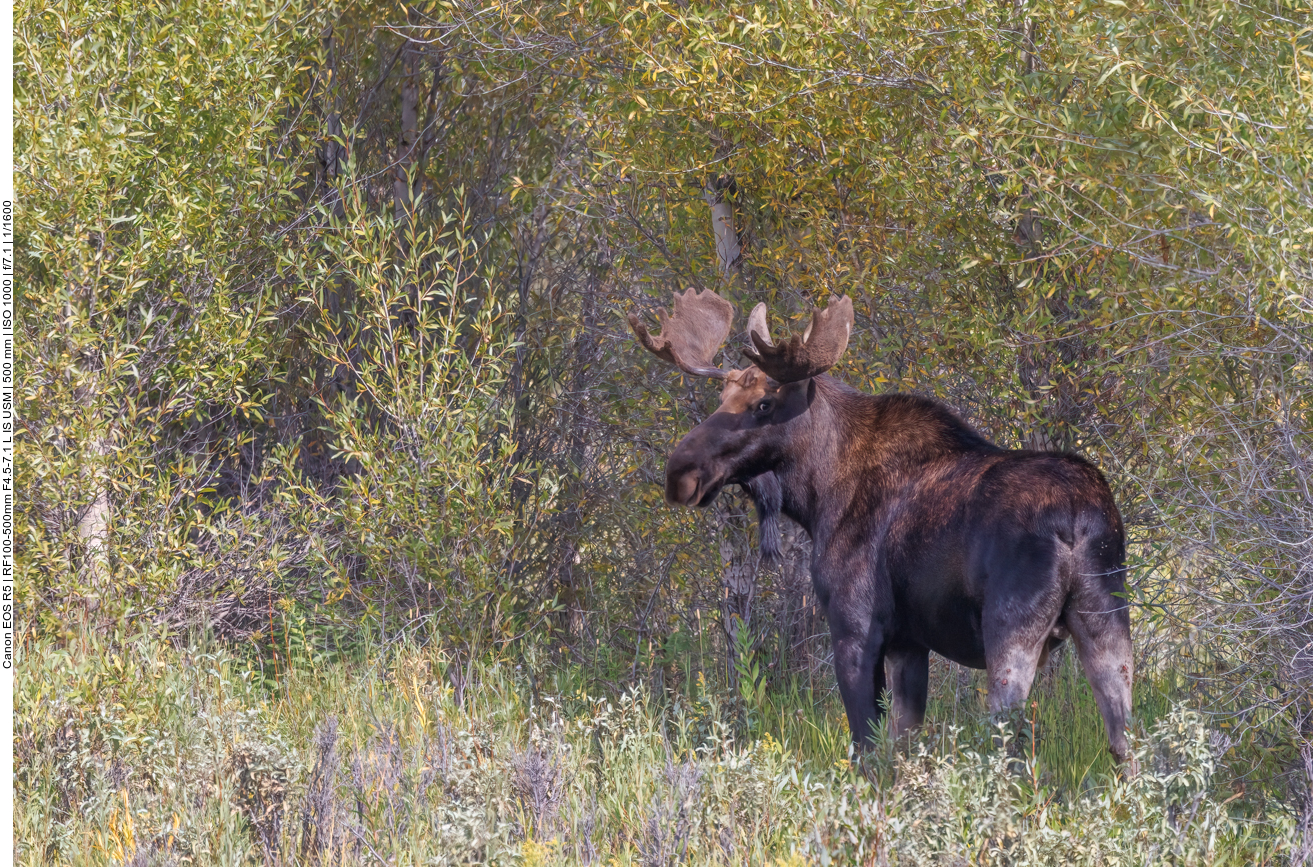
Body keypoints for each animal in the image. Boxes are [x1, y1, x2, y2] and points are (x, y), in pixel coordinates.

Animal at [630, 289, 1134, 767]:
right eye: (721, 400)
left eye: (764, 403)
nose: (679, 473)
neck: (818, 495)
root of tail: (1075, 519)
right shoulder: (909, 644)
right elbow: (903, 744)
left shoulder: (856, 630)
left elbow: (867, 751)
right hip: (1107, 621)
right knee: (1124, 743)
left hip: (1010, 630)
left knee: (1009, 747)